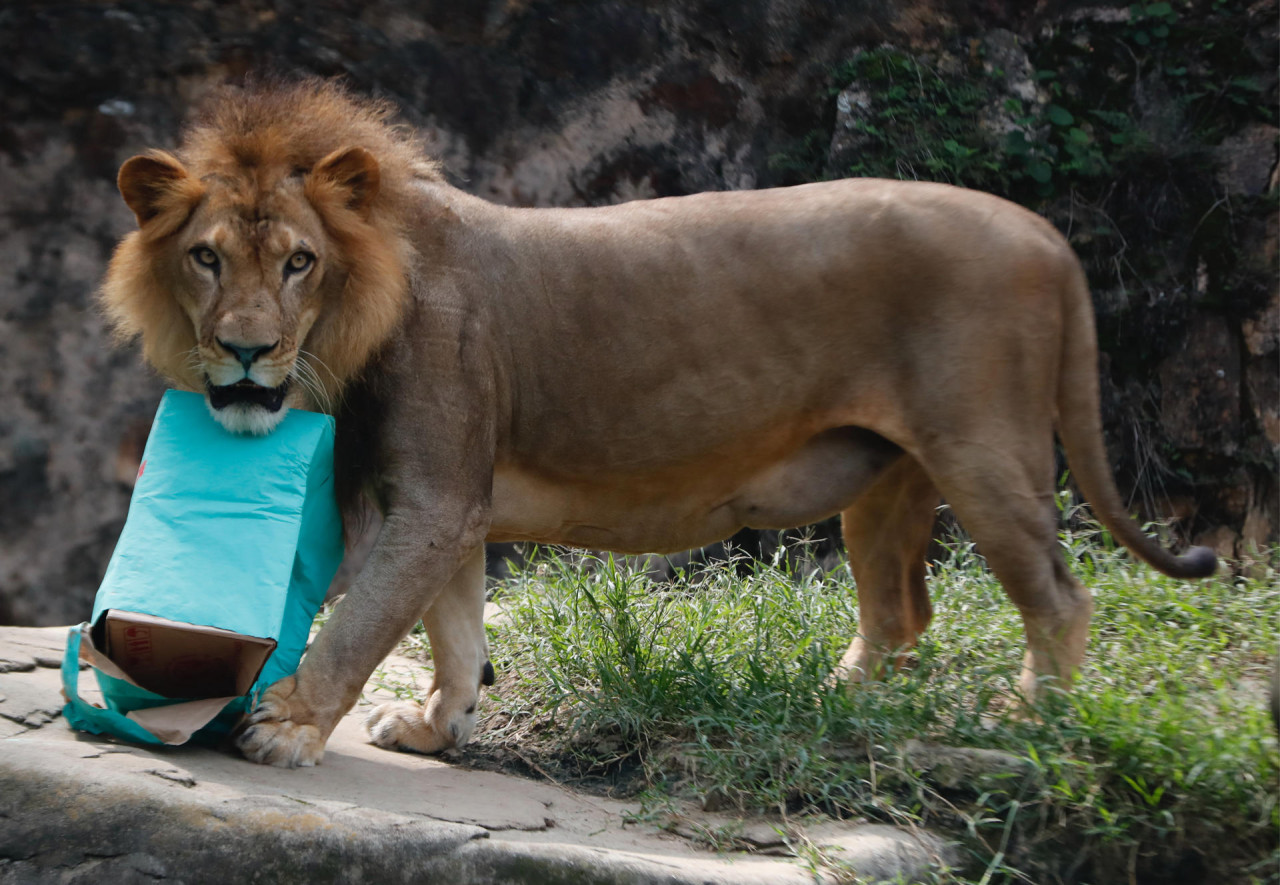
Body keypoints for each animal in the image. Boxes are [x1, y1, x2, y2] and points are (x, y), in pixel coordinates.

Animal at [104, 79, 1213, 763]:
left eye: (299, 262)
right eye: (206, 258)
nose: (245, 350)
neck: (360, 309)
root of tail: (1047, 235)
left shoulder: (434, 497)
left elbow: (362, 619)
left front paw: (287, 726)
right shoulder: (451, 504)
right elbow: (453, 629)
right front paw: (435, 727)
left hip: (981, 451)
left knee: (1058, 597)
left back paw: (1025, 721)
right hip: (888, 475)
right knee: (902, 612)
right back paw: (836, 703)